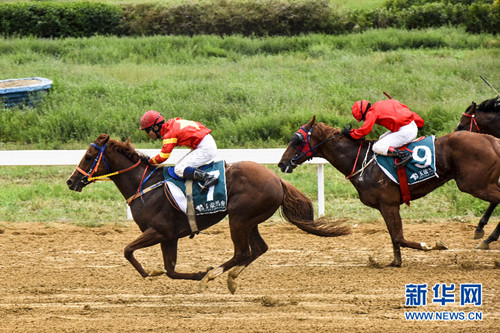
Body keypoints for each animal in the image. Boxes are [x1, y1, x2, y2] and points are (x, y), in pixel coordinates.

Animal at [66, 134, 350, 292]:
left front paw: (153, 273)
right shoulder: (169, 237)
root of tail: (277, 179)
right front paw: (182, 273)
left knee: (242, 252)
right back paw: (231, 278)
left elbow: (128, 251)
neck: (144, 185)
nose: (71, 182)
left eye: (89, 156)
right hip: (251, 220)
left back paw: (214, 276)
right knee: (259, 249)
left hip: (239, 218)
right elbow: (170, 270)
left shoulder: (159, 231)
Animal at [278, 115, 500, 266]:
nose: (281, 163)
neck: (362, 161)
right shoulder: (385, 206)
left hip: (474, 184)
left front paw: (431, 245)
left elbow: (399, 236)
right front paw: (395, 262)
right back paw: (486, 237)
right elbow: (394, 236)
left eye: (296, 139)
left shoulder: (389, 203)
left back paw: (486, 237)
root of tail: (493, 140)